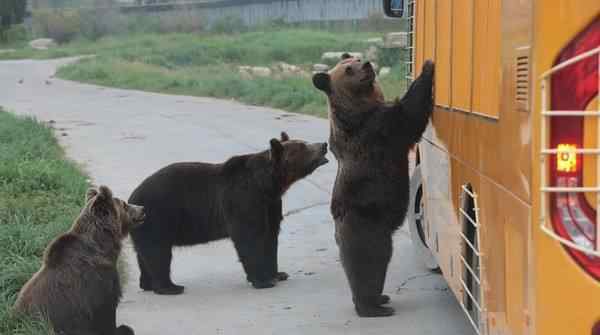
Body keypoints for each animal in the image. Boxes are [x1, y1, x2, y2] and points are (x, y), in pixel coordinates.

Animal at [128, 133, 330, 296]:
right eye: (303, 146)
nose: (323, 145)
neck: (267, 184)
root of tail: (132, 197)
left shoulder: (271, 204)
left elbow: (270, 236)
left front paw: (278, 274)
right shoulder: (243, 199)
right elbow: (249, 236)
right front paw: (262, 280)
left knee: (144, 253)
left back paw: (147, 284)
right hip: (159, 216)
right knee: (158, 252)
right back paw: (170, 287)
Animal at [312, 55, 434, 318]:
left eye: (356, 58)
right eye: (348, 69)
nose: (367, 64)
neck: (360, 107)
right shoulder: (376, 129)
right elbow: (408, 115)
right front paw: (428, 67)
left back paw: (381, 298)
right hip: (366, 225)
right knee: (369, 265)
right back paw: (372, 307)